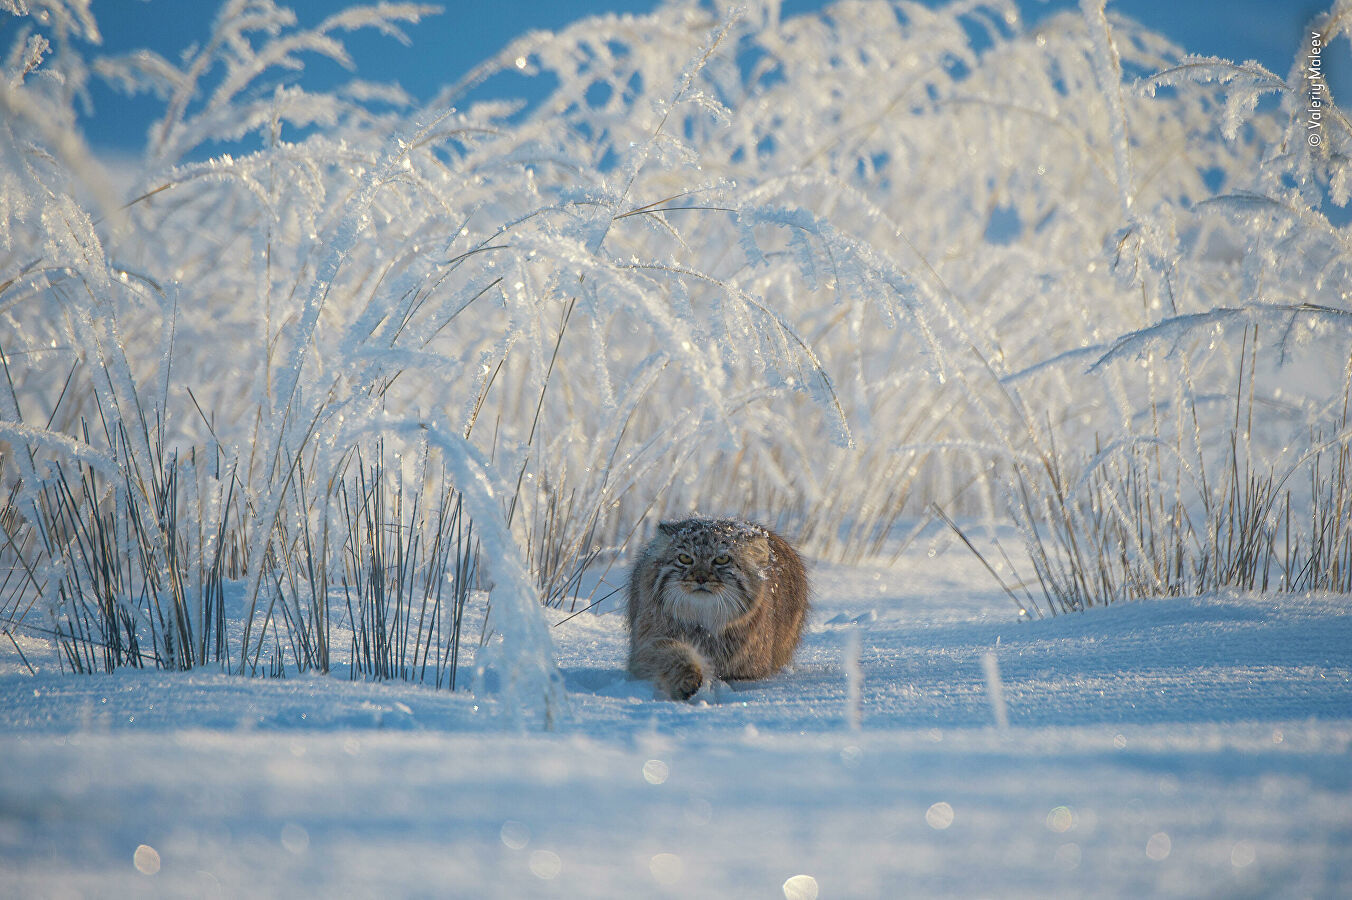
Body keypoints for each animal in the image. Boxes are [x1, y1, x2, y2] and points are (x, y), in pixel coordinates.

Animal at [627, 516, 805, 697]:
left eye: (722, 559)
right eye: (685, 558)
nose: (700, 578)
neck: (704, 621)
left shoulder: (750, 666)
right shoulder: (648, 640)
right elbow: (669, 653)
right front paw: (686, 677)